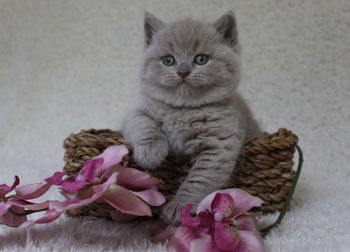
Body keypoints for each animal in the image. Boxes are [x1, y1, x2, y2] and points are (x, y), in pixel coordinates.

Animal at [121, 11, 262, 224]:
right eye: (168, 60)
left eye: (201, 59)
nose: (183, 71)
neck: (184, 109)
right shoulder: (136, 112)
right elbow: (144, 124)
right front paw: (150, 154)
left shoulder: (219, 145)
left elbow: (199, 179)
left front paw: (180, 208)